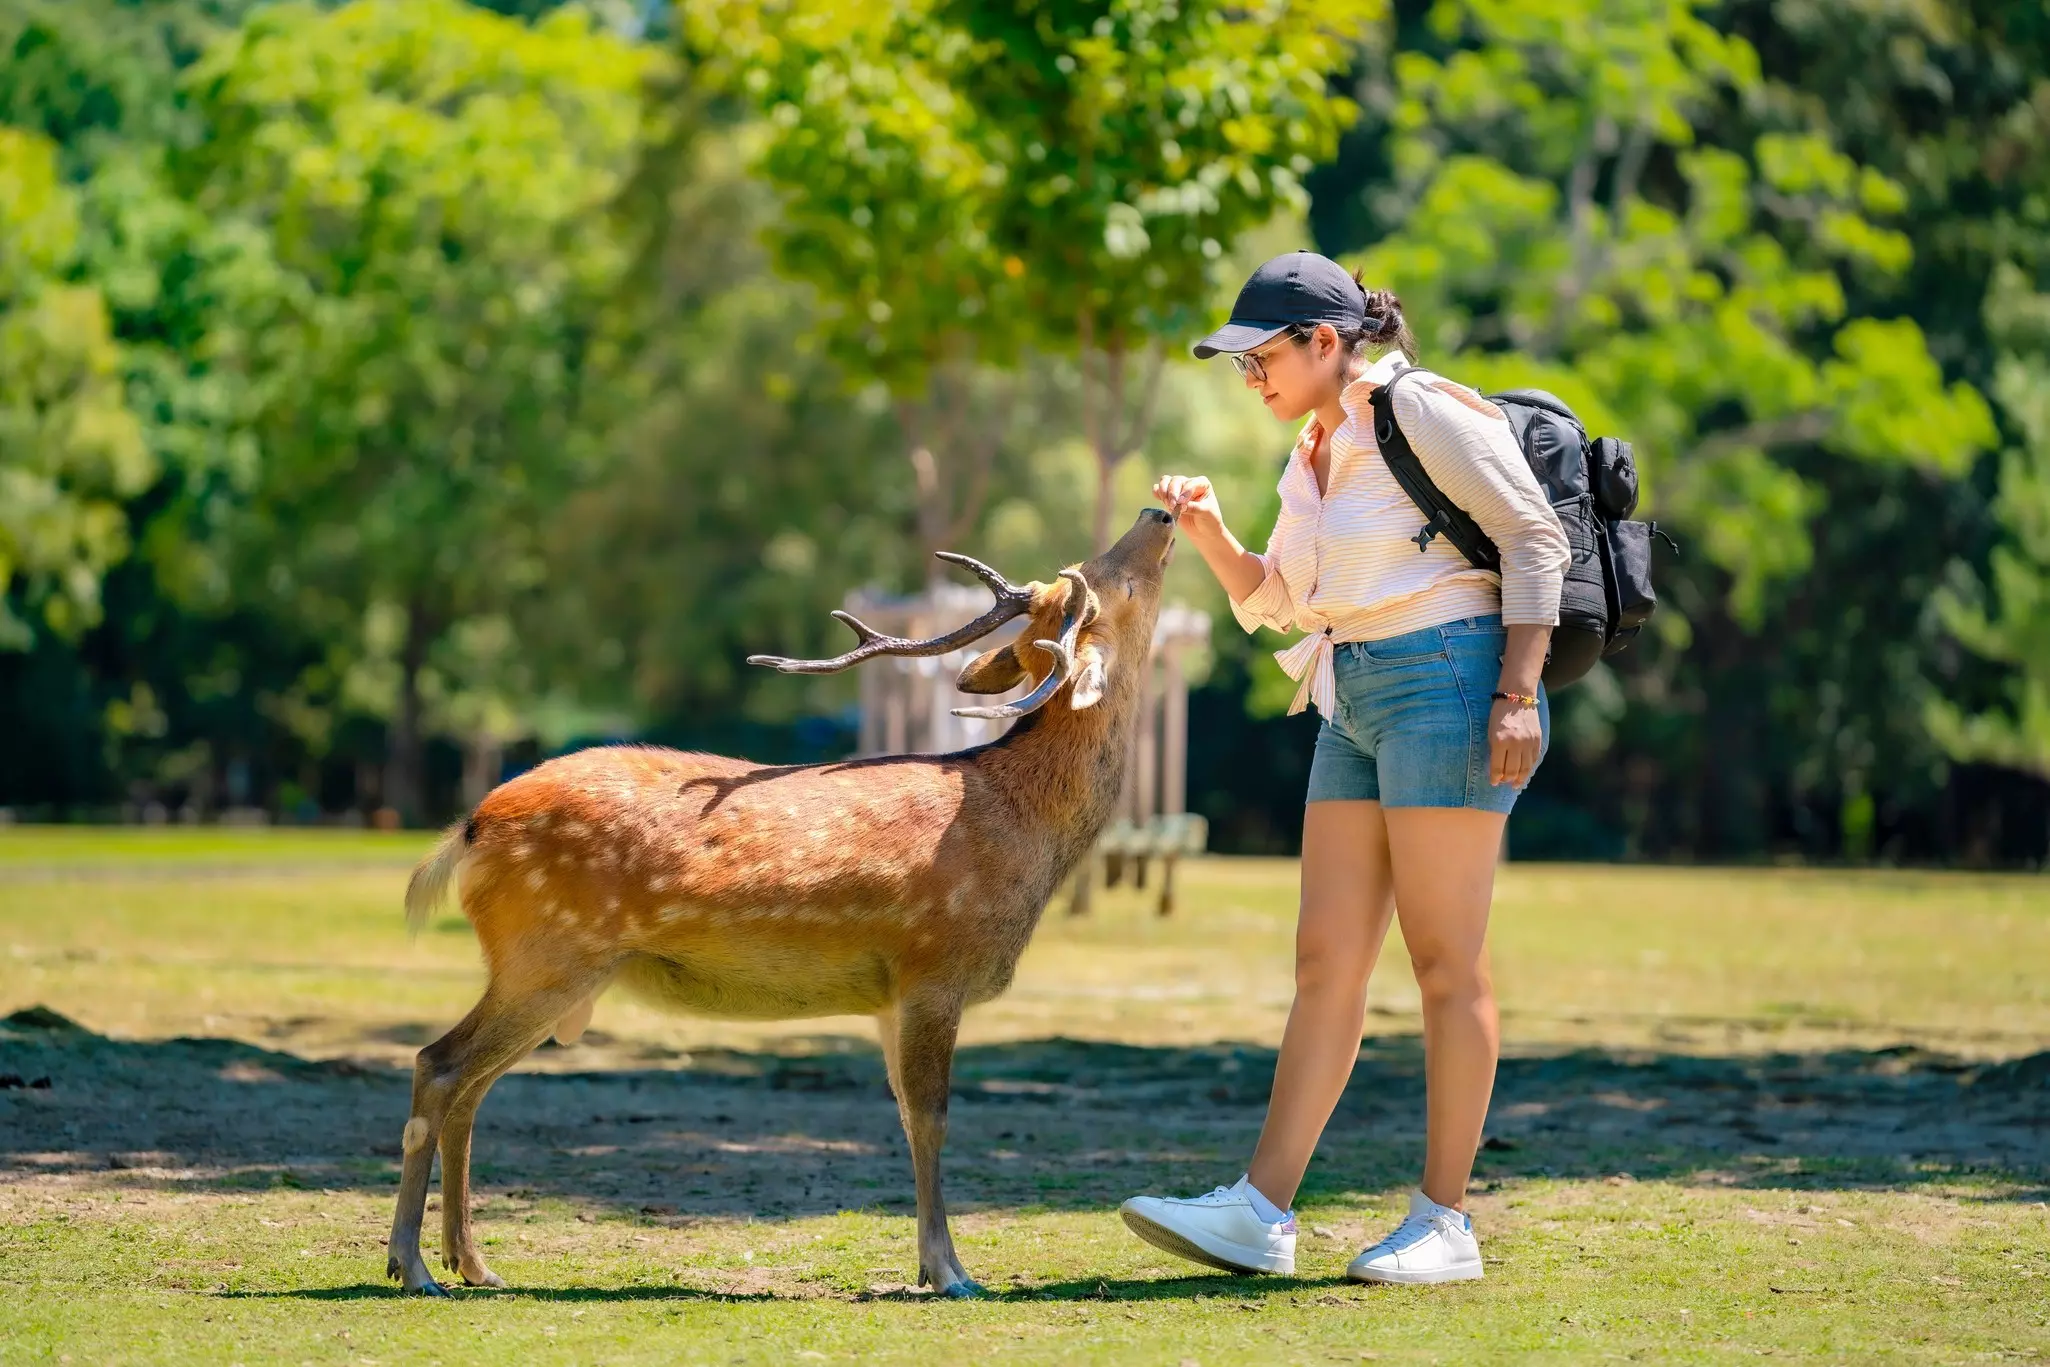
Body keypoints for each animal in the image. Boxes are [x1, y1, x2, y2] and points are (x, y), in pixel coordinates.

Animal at [385, 507, 1177, 1298]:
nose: (1161, 511)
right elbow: (932, 1118)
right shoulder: (933, 967)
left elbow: (903, 1116)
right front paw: (951, 1272)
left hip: (548, 970)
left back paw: (472, 1262)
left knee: (472, 1087)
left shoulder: (891, 996)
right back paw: (413, 1265)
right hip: (547, 953)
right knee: (439, 1065)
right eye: (1114, 582)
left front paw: (933, 1265)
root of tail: (470, 827)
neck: (1019, 833)